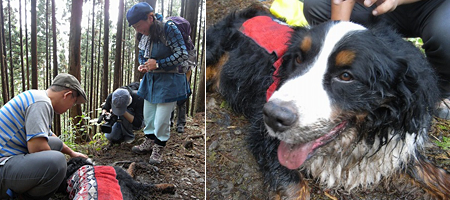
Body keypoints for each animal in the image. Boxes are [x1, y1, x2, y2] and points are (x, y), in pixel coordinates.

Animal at [207, 4, 450, 200]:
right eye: (298, 58)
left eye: (346, 76)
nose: (273, 116)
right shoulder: (262, 134)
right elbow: (296, 187)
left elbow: (435, 174)